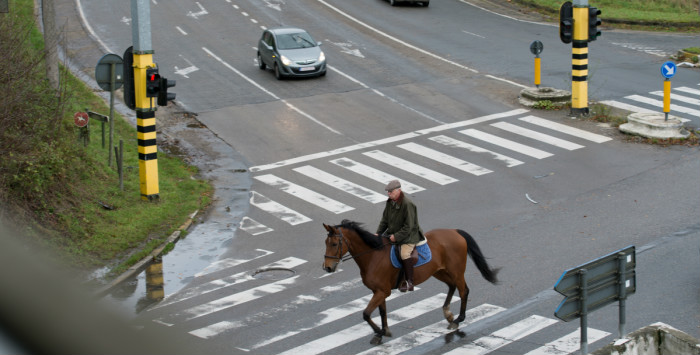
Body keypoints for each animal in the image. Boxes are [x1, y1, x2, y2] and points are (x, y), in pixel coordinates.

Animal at [322, 221, 498, 346]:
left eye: (334, 244)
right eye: (325, 242)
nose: (327, 268)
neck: (372, 255)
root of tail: (454, 231)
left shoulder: (382, 292)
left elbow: (366, 314)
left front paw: (379, 332)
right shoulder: (379, 291)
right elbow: (382, 312)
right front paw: (383, 332)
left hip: (456, 272)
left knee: (463, 291)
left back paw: (457, 320)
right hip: (439, 272)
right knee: (452, 286)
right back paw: (448, 314)